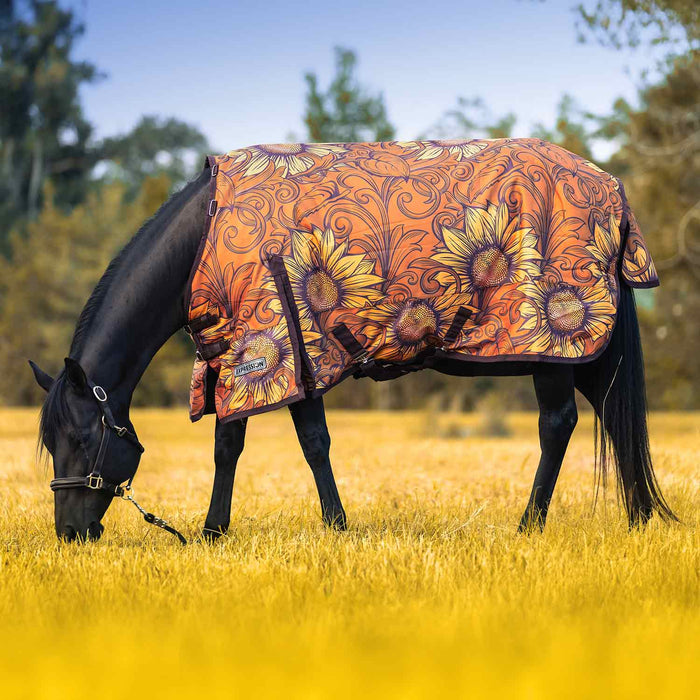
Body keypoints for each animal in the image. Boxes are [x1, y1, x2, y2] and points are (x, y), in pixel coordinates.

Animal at [30, 139, 676, 542]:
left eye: (82, 439)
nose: (70, 533)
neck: (205, 236)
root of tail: (610, 190)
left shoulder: (285, 345)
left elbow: (305, 443)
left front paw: (332, 526)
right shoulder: (251, 353)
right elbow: (235, 444)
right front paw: (217, 531)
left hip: (553, 345)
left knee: (557, 425)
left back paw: (530, 525)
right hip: (585, 355)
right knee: (613, 417)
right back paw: (639, 518)